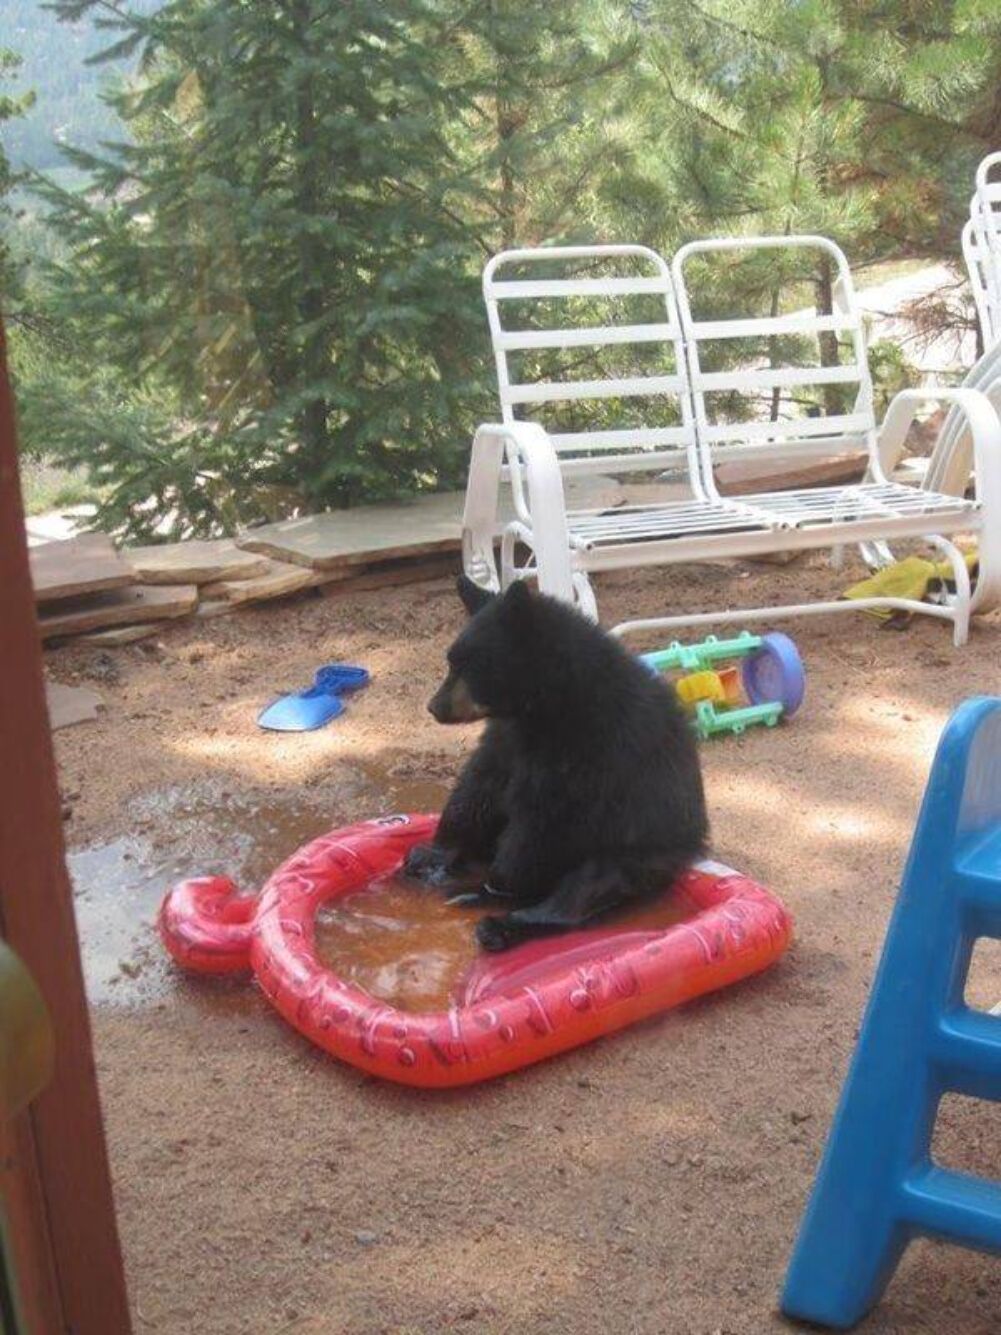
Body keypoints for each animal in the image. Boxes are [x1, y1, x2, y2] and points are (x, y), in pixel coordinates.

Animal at [404, 575, 708, 952]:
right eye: (451, 661)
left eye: (472, 665)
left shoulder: (594, 745)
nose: (434, 706)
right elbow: (479, 785)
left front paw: (495, 886)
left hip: (639, 851)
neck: (546, 704)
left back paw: (497, 920)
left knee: (587, 887)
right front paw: (432, 854)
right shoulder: (508, 736)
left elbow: (546, 819)